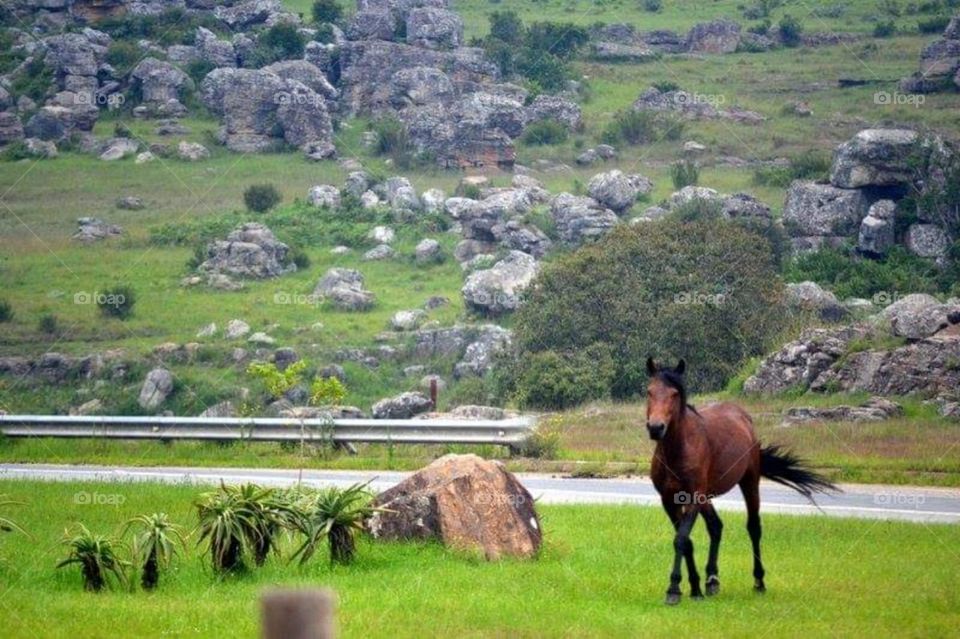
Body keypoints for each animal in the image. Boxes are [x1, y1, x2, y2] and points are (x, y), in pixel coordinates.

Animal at [645, 357, 837, 605]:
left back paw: (759, 582)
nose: (656, 427)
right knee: (716, 527)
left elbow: (681, 539)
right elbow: (686, 541)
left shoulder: (694, 498)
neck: (677, 451)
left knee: (753, 527)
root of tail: (744, 417)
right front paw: (694, 588)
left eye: (674, 393)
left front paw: (674, 589)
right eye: (649, 391)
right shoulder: (669, 500)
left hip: (749, 483)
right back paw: (711, 580)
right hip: (707, 497)